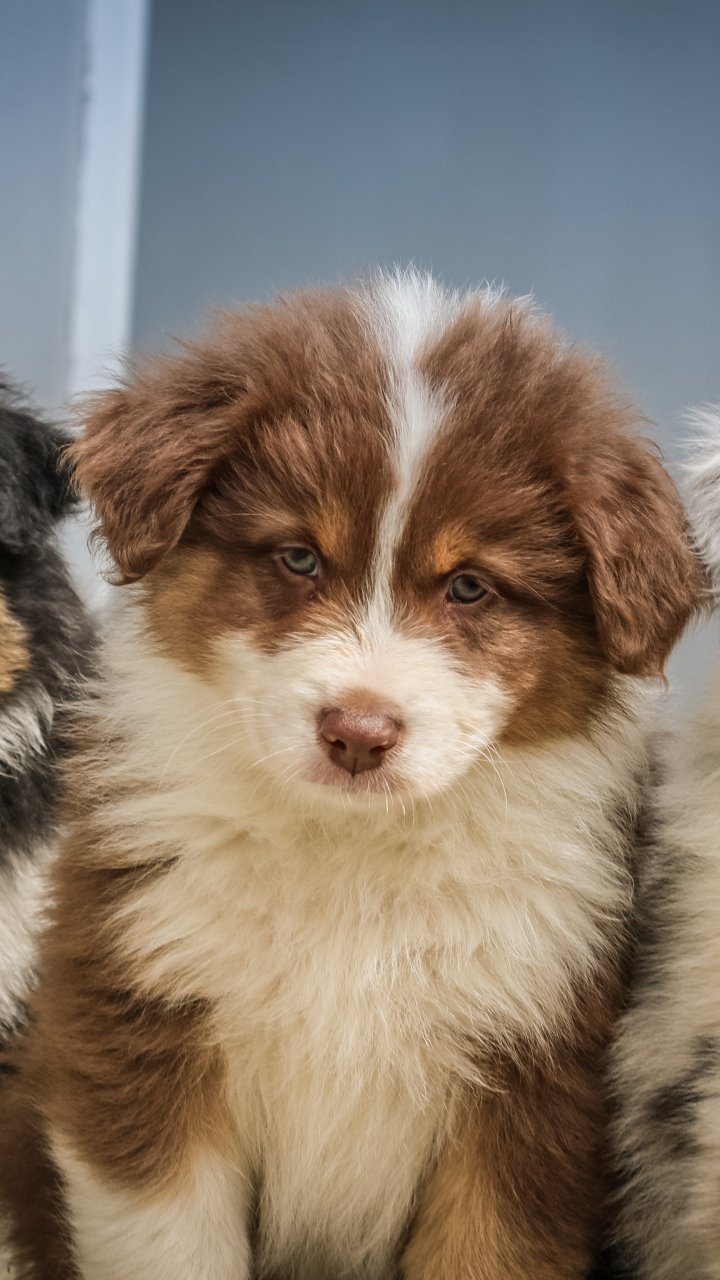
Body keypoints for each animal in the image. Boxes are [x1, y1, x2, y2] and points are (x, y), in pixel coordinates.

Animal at [0, 273, 704, 1280]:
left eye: (469, 587)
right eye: (299, 557)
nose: (358, 734)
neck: (353, 849)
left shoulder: (527, 1090)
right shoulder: (140, 1030)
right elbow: (176, 1245)